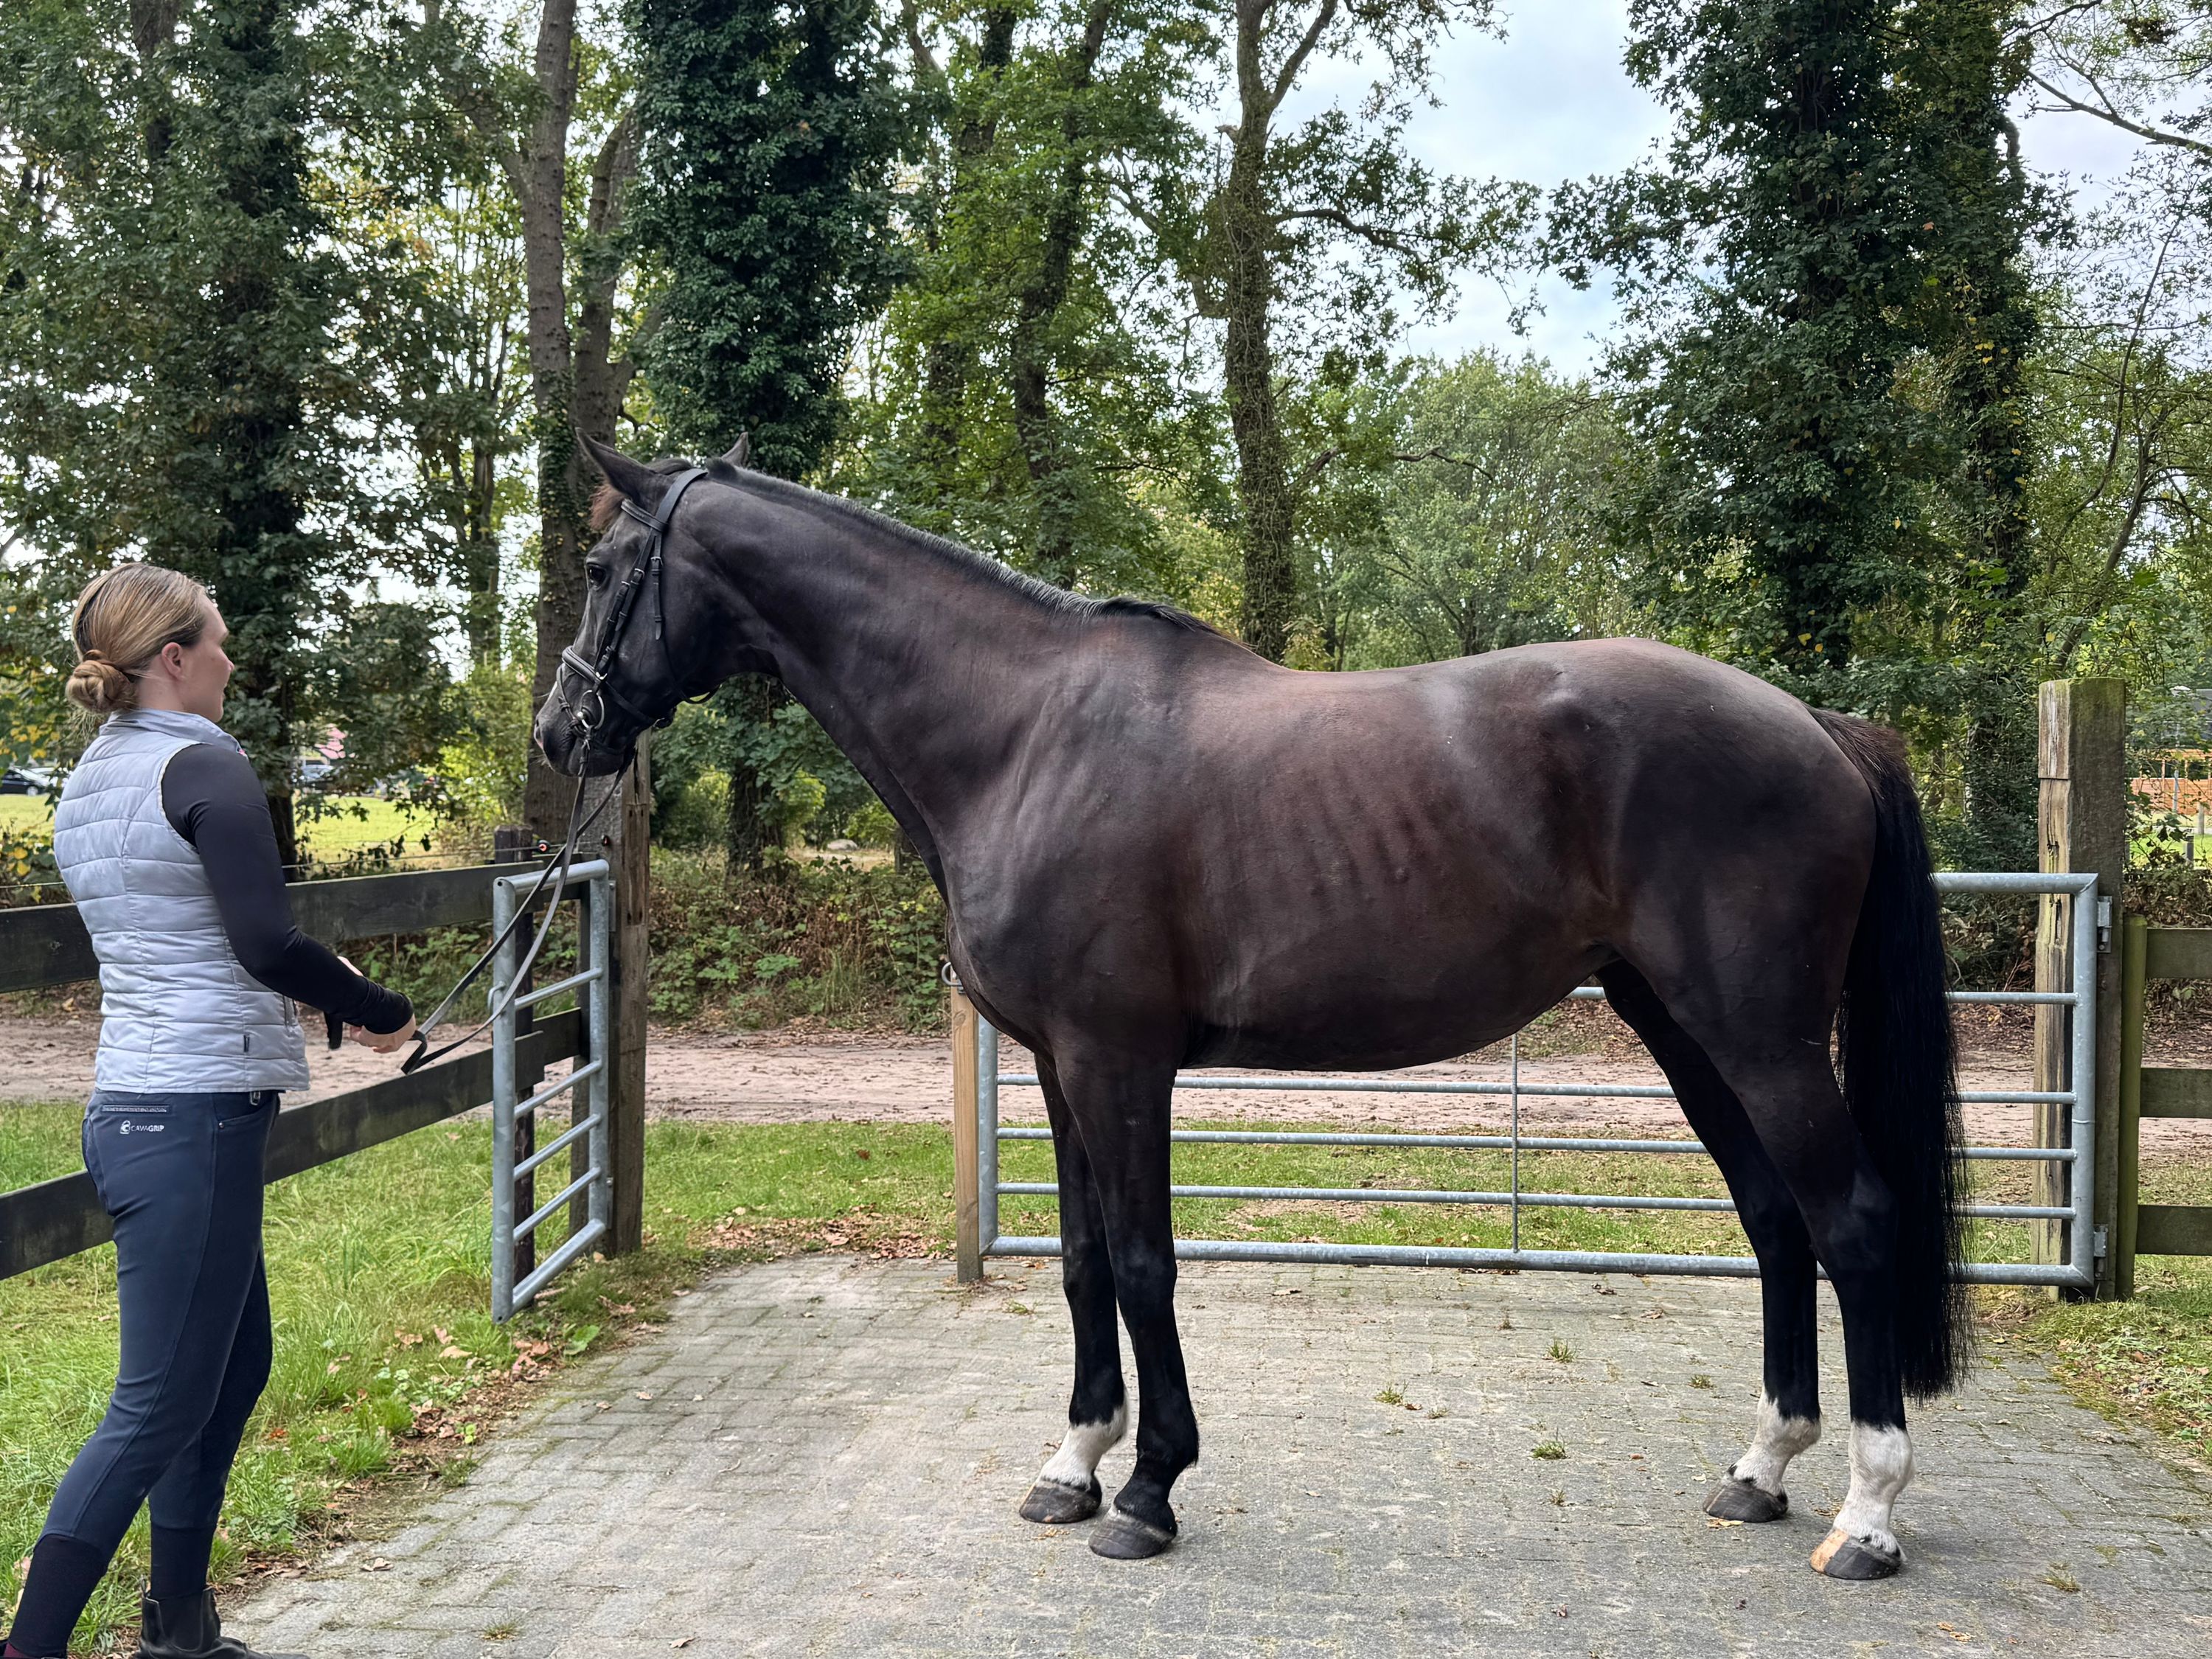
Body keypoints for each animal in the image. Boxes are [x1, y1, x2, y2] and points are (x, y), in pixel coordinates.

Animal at [535, 435, 1965, 1580]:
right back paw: (1764, 1469)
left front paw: (1149, 1491)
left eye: (604, 569)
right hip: (1682, 1029)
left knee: (1852, 1220)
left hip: (1762, 1038)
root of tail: (1821, 726)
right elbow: (1080, 1260)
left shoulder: (1119, 1061)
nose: (558, 732)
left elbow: (1145, 1262)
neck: (1022, 738)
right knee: (1778, 1221)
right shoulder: (1057, 1064)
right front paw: (1073, 1465)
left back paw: (1871, 1516)